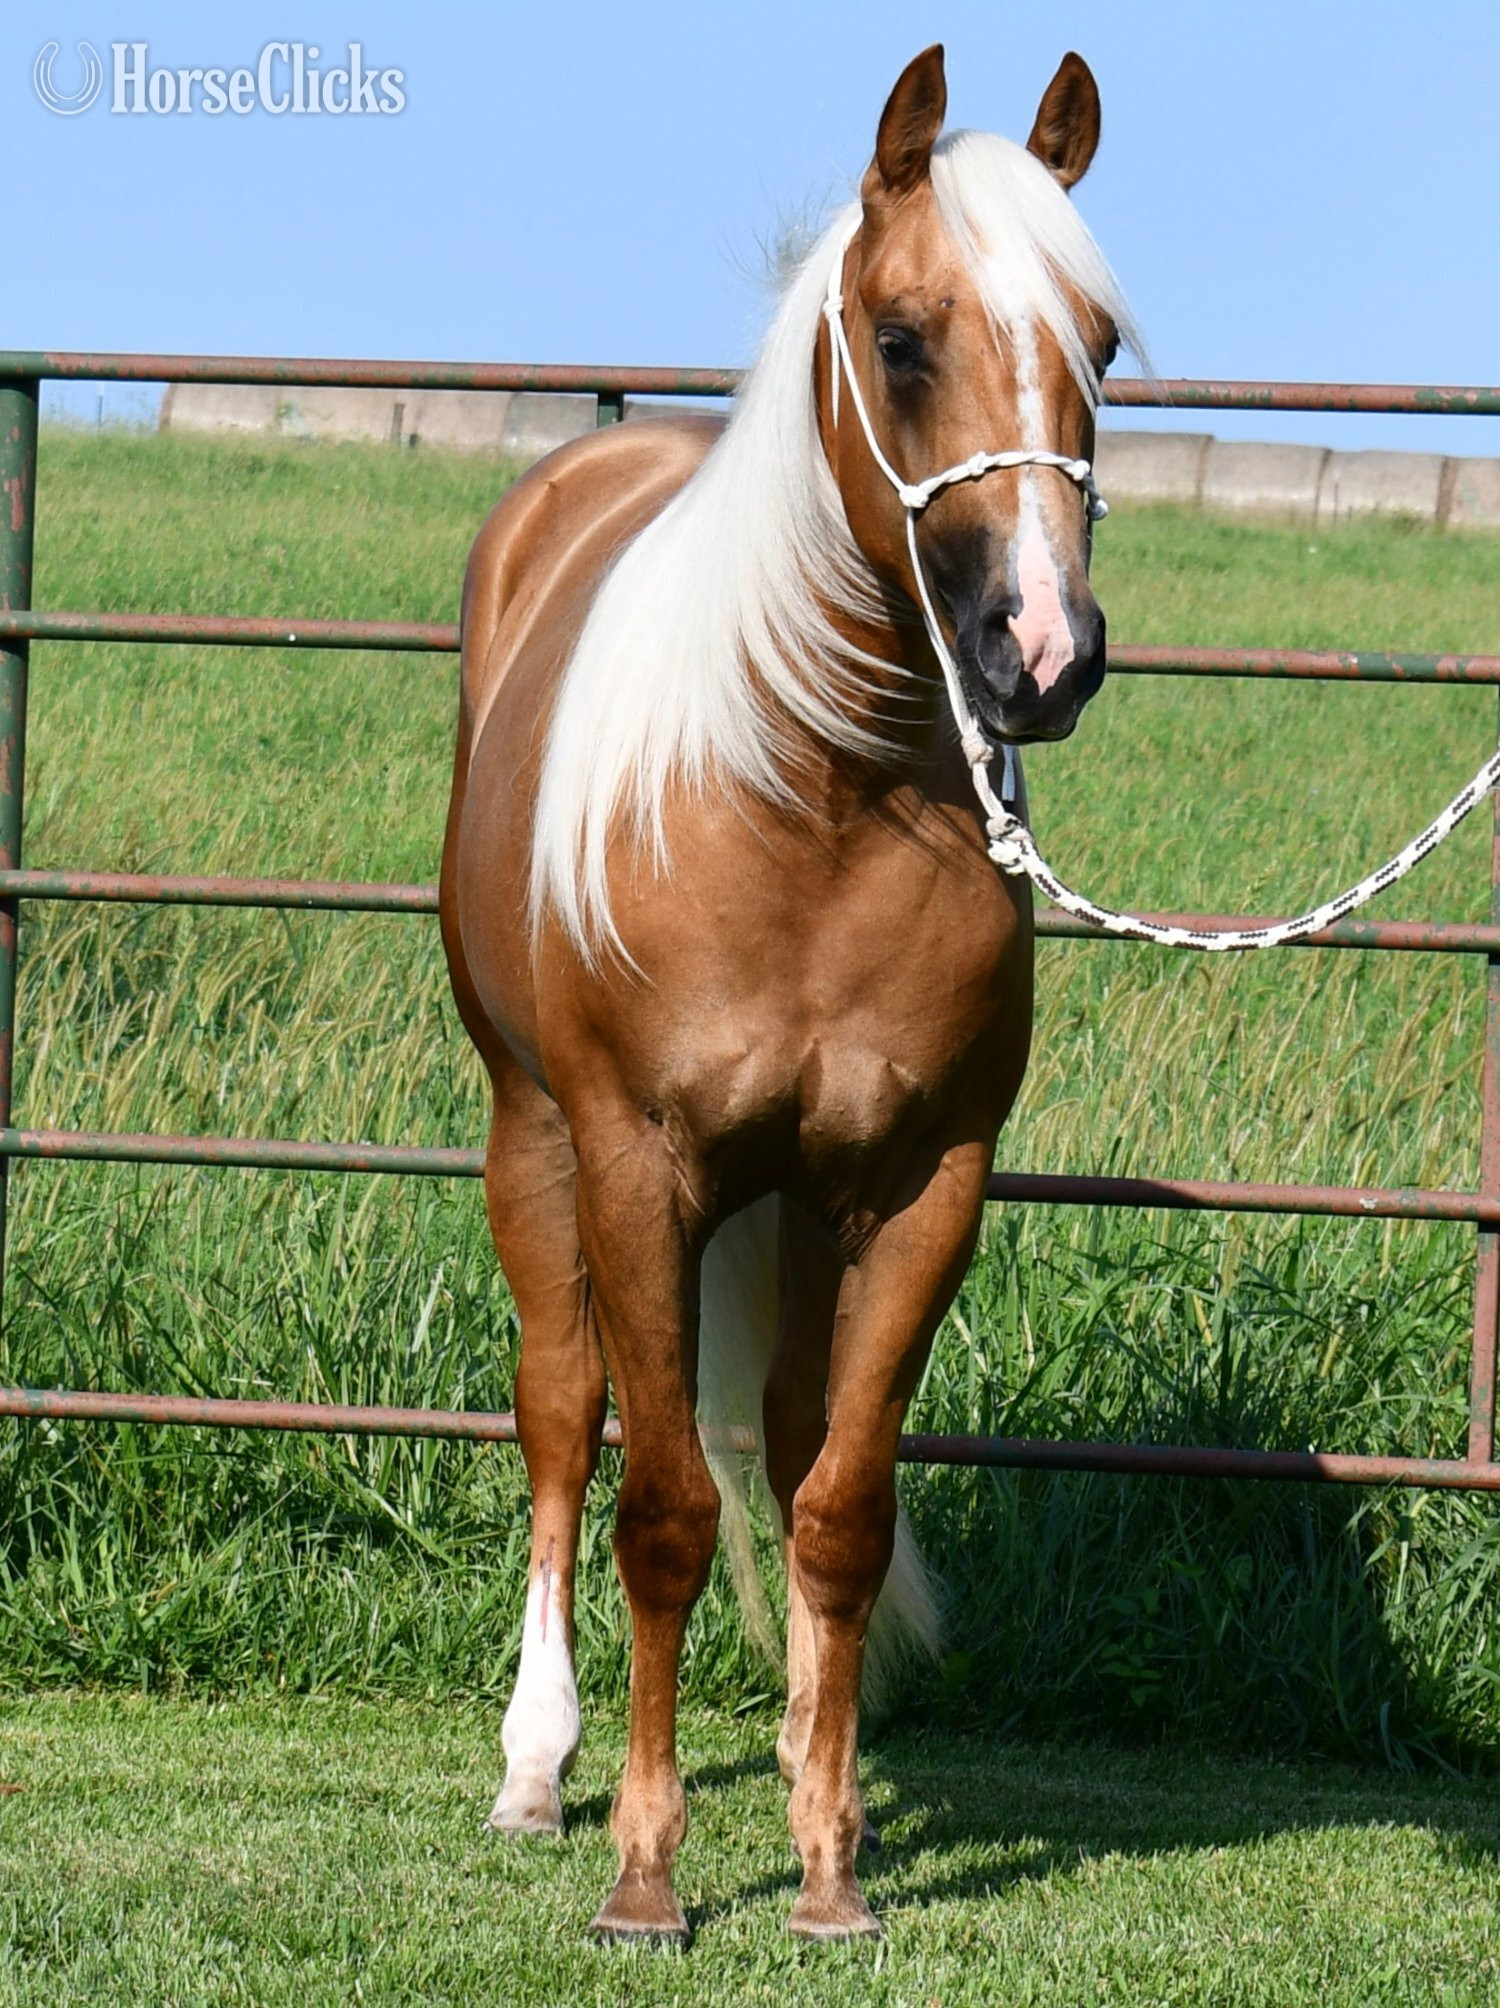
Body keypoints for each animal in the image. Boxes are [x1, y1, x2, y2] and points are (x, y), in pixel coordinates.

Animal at [440, 43, 1139, 1943]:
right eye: (900, 339)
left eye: (1104, 346)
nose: (1042, 656)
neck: (811, 794)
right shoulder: (639, 1164)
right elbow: (665, 1514)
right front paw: (646, 1876)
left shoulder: (918, 1184)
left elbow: (836, 1509)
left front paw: (827, 1868)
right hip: (532, 1140)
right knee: (561, 1417)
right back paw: (536, 1771)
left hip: (807, 1206)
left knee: (790, 1440)